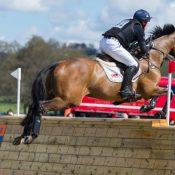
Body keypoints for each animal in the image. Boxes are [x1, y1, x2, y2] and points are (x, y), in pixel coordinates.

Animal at [13, 24, 175, 145]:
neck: (152, 57)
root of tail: (57, 64)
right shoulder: (149, 89)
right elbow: (169, 92)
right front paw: (158, 111)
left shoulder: (148, 91)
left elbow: (166, 92)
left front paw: (149, 107)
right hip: (68, 100)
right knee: (41, 107)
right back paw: (32, 136)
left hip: (52, 94)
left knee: (34, 106)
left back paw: (22, 137)